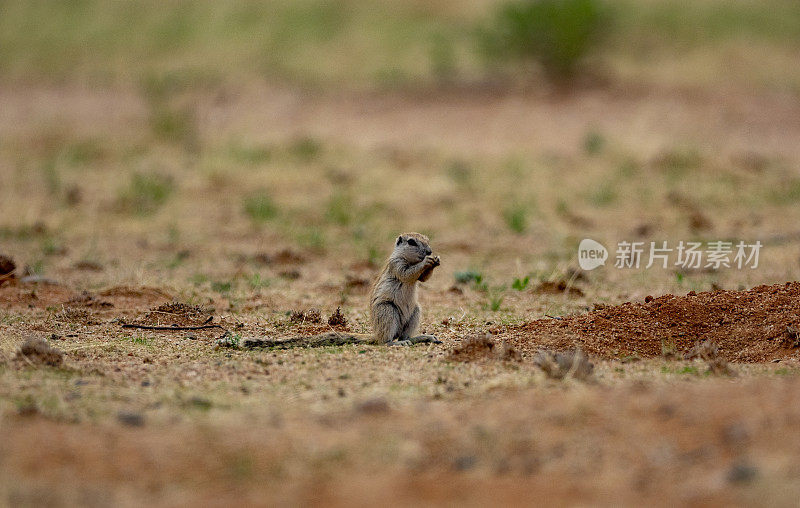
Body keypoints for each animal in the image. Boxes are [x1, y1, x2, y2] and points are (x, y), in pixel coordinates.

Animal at [245, 232, 444, 348]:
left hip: (415, 312)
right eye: (411, 242)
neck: (409, 259)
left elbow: (422, 278)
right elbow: (407, 273)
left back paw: (421, 338)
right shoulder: (396, 265)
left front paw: (435, 261)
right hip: (387, 310)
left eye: (427, 239)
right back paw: (394, 344)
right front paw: (427, 261)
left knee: (403, 336)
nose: (429, 251)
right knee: (386, 341)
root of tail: (375, 334)